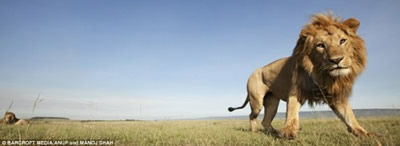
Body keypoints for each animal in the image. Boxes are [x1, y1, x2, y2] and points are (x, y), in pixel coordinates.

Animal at [228, 13, 368, 138]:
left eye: (343, 41)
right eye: (321, 45)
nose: (336, 60)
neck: (321, 73)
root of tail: (253, 72)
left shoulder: (335, 95)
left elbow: (349, 115)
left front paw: (362, 133)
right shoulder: (296, 90)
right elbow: (292, 112)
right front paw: (289, 132)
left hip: (272, 102)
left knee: (265, 121)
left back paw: (274, 132)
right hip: (256, 101)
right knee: (252, 116)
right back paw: (255, 132)